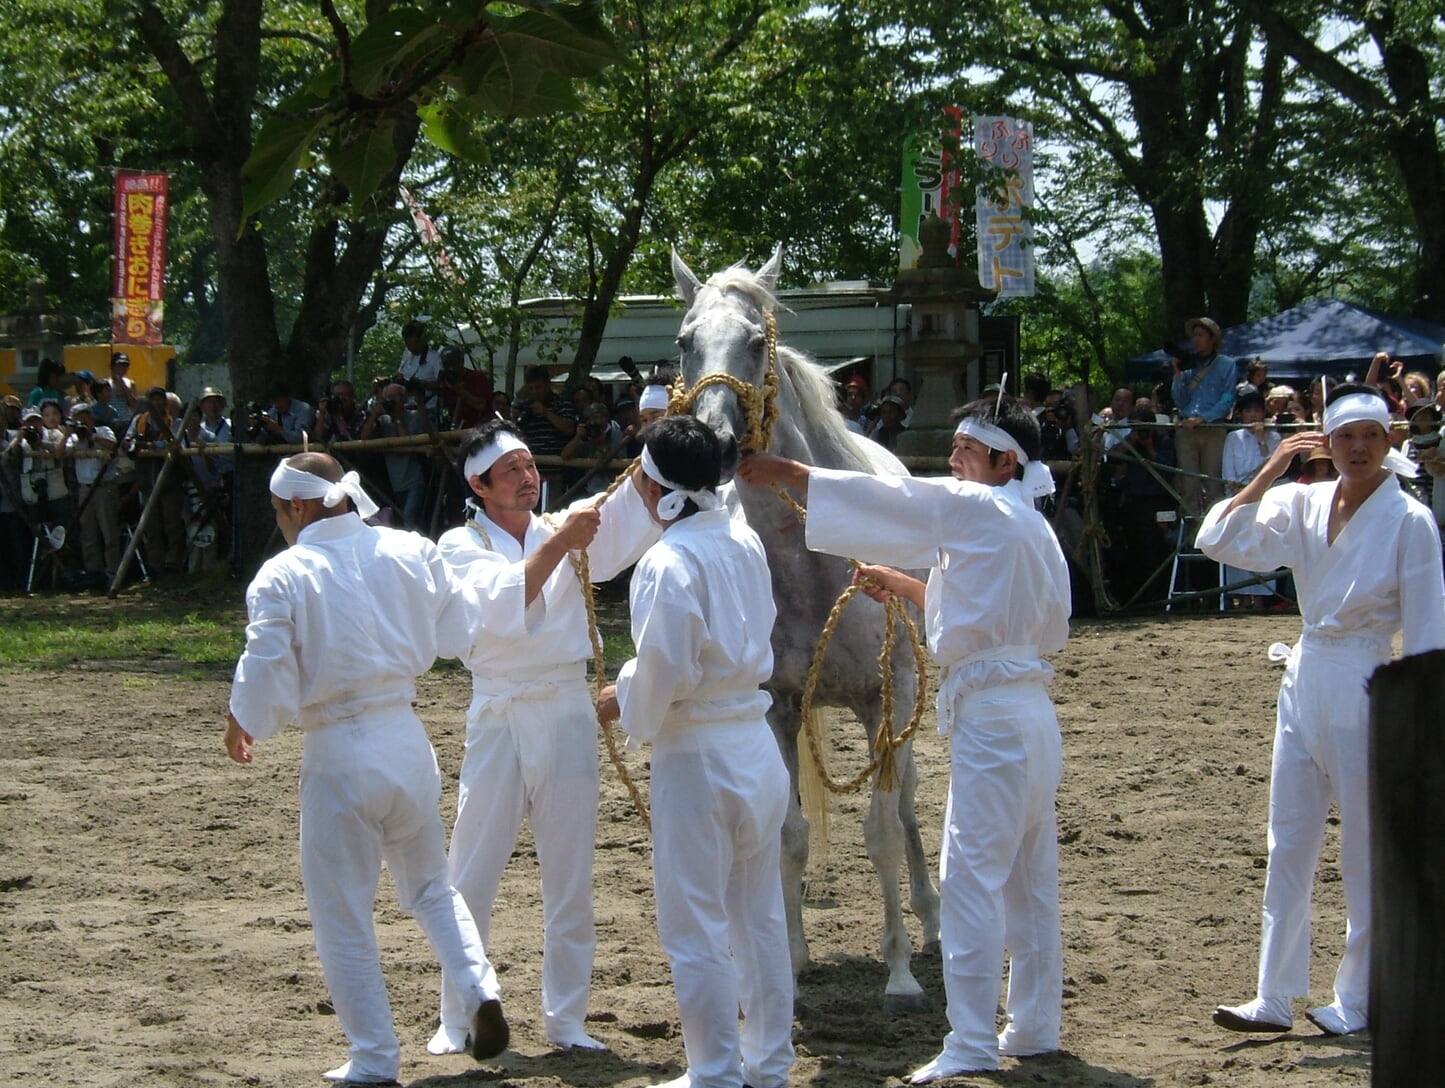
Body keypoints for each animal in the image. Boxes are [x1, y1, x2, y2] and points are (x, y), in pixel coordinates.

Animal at [670, 245, 942, 1011]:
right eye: (685, 342)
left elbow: (881, 832)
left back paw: (932, 922)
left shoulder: (885, 701)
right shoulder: (779, 707)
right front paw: (789, 963)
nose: (714, 442)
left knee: (908, 812)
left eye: (755, 343)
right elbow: (788, 834)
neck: (812, 558)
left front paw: (900, 973)